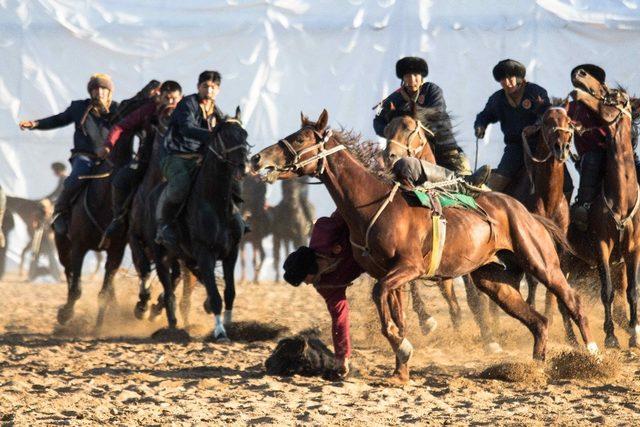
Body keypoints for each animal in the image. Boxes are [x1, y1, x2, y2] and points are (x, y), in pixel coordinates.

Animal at [54, 135, 134, 332]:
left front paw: (99, 326)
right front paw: (65, 314)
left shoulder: (116, 250)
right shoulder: (78, 247)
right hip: (63, 247)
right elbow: (76, 288)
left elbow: (104, 291)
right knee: (68, 271)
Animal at [251, 109, 600, 382]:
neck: (371, 204)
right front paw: (401, 369)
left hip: (541, 263)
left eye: (299, 139)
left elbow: (382, 300)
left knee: (572, 301)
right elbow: (396, 314)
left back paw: (593, 355)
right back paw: (535, 369)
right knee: (538, 321)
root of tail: (526, 212)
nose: (257, 158)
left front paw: (402, 349)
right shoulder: (391, 276)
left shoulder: (408, 268)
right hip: (493, 280)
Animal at [568, 72, 640, 350]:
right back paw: (573, 340)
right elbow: (607, 291)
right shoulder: (602, 246)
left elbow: (632, 292)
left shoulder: (633, 248)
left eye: (612, 96)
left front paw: (634, 334)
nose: (579, 75)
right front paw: (611, 337)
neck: (622, 198)